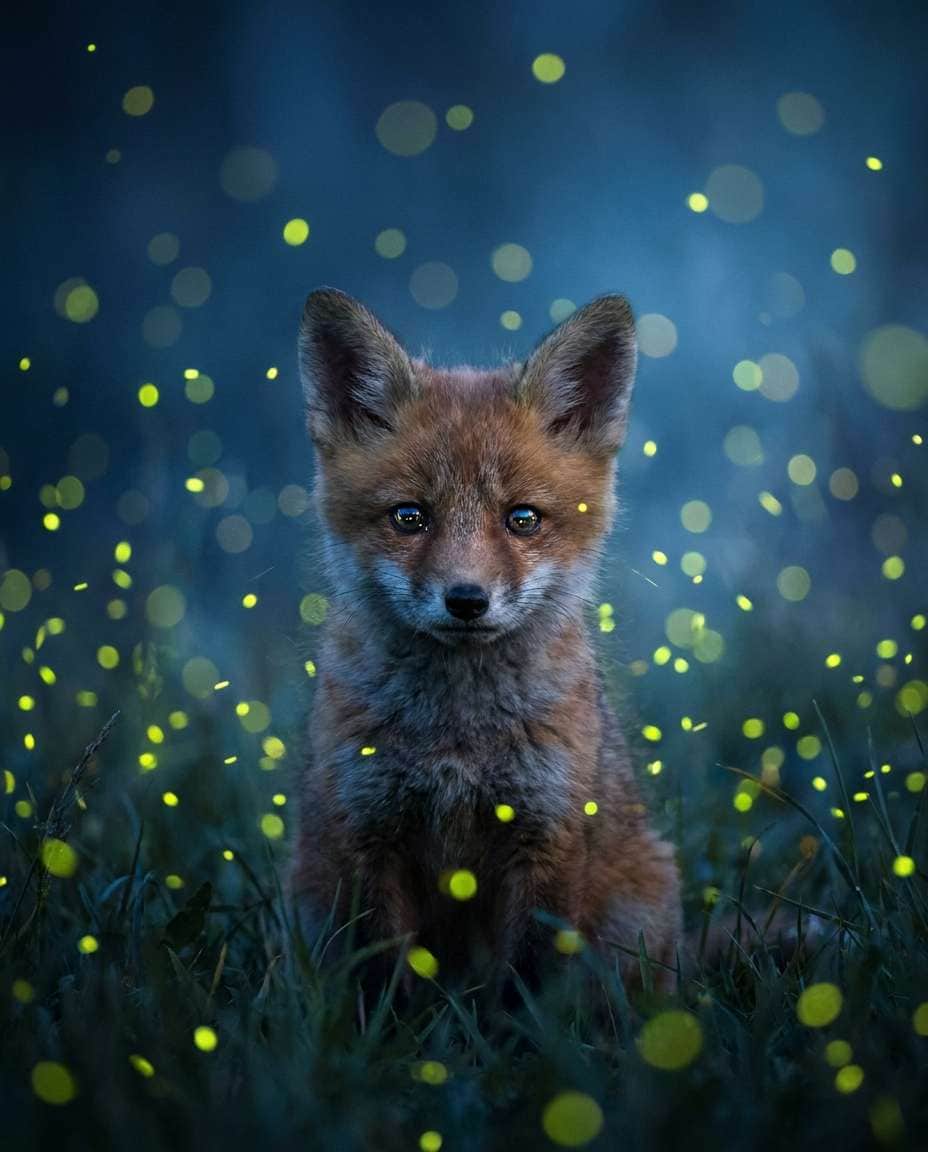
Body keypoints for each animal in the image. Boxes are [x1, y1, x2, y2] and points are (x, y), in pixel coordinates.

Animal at [289, 287, 682, 994]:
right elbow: (385, 979)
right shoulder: (367, 836)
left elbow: (527, 986)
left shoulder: (546, 839)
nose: (467, 600)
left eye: (521, 519)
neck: (458, 740)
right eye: (409, 517)